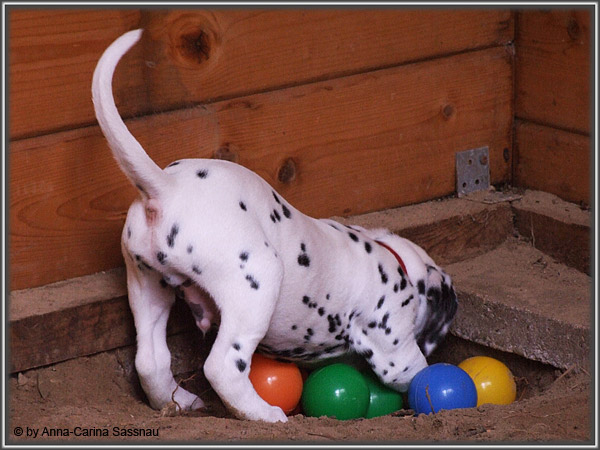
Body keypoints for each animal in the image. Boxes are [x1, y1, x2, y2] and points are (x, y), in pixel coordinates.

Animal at [92, 29, 458, 422]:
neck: (395, 261)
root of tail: (167, 186)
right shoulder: (394, 350)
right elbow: (416, 371)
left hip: (147, 285)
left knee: (151, 362)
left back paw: (179, 402)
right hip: (256, 283)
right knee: (222, 367)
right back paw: (264, 414)